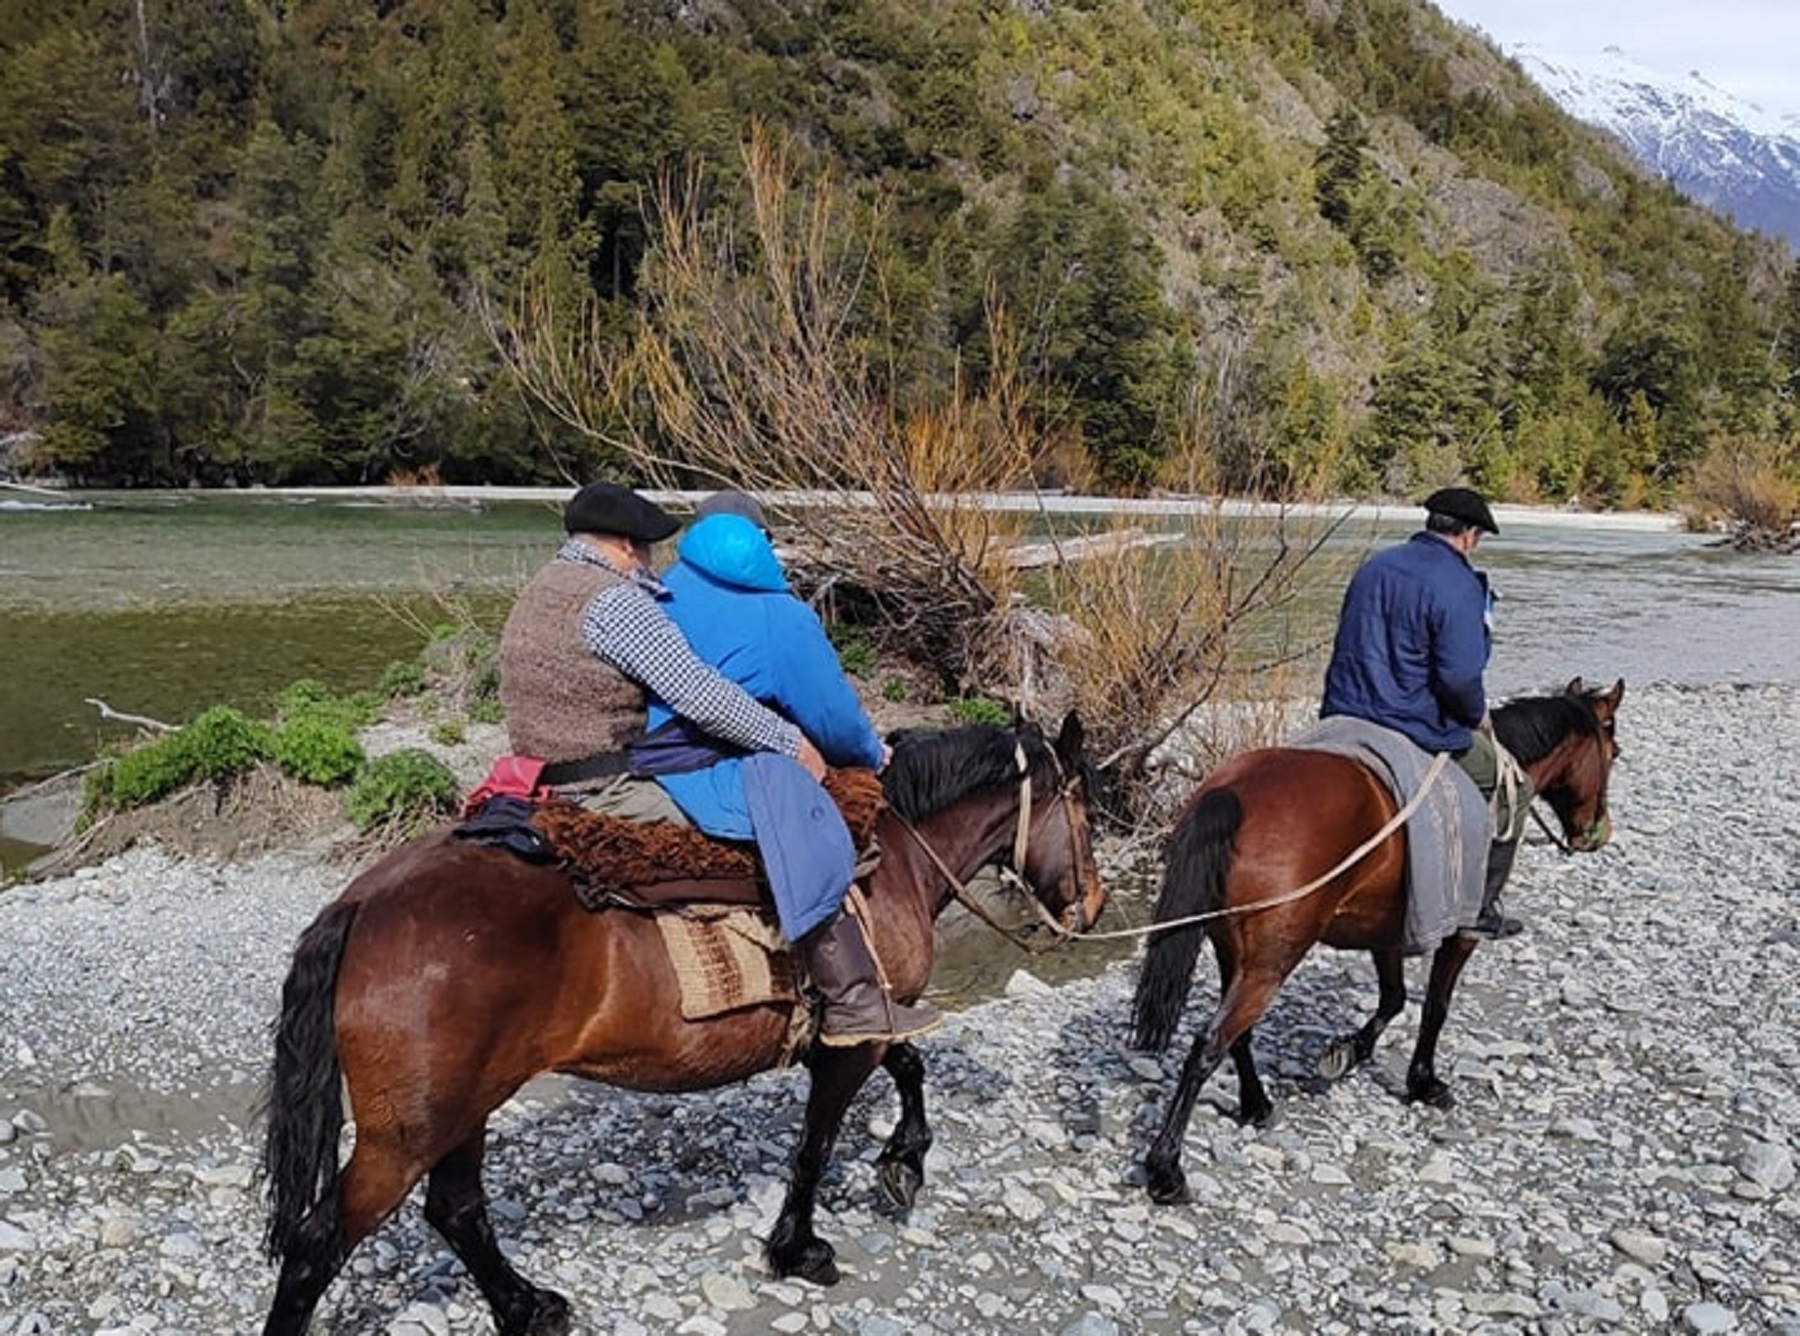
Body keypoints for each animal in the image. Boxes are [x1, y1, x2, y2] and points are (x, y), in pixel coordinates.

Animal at [261, 716, 1101, 1332]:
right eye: (1087, 813)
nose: (1091, 905)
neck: (891, 856)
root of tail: (362, 903)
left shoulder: (854, 1031)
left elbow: (909, 1066)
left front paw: (904, 1160)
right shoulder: (851, 1040)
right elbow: (815, 1146)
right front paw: (800, 1248)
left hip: (463, 1106)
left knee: (456, 1210)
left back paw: (528, 1305)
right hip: (410, 1131)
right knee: (317, 1244)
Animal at [1130, 680, 1627, 1202]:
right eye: (1613, 753)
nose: (1595, 834)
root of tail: (1232, 791)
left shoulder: (1386, 929)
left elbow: (1394, 998)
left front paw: (1347, 1052)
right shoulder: (1460, 934)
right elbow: (1435, 1007)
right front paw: (1424, 1082)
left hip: (1236, 953)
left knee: (1236, 1035)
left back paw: (1256, 1104)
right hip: (1269, 964)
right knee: (1209, 1044)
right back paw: (1167, 1169)